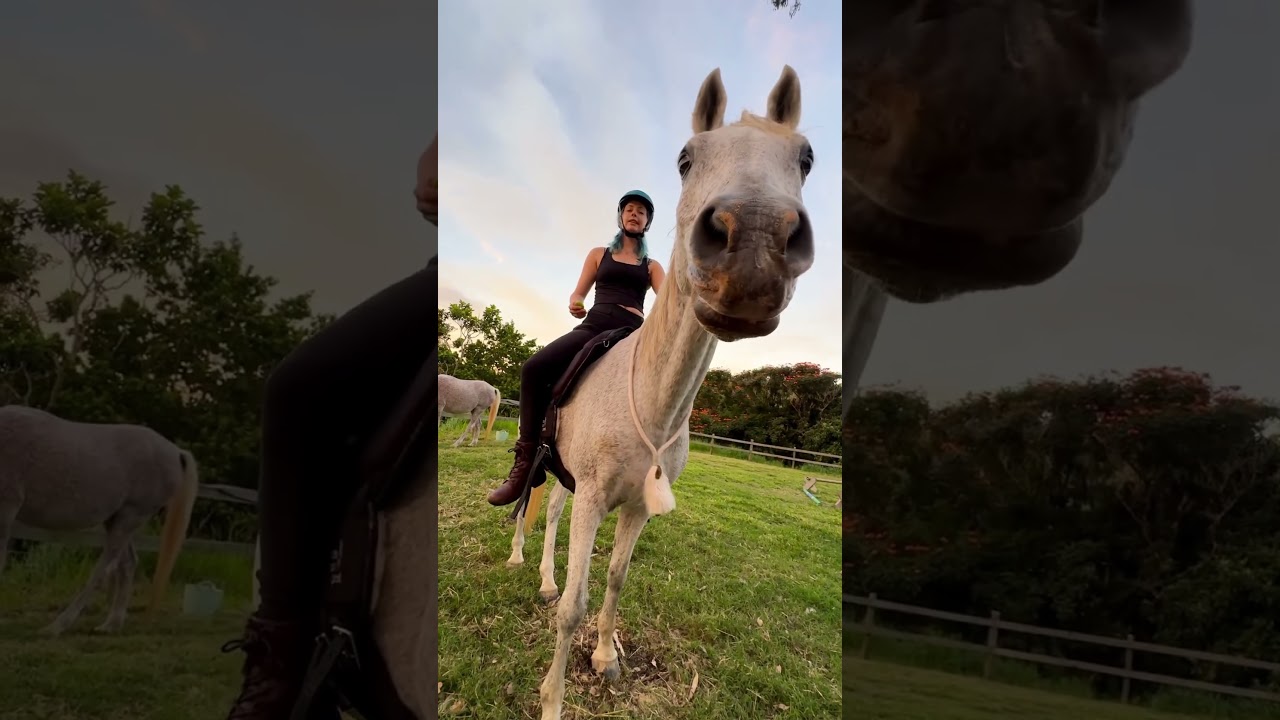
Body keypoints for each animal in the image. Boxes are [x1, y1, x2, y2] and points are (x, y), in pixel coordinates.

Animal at [0, 405, 199, 635]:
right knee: (127, 564)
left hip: (129, 518)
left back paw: (58, 626)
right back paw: (111, 624)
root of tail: (176, 452)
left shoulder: (5, 510)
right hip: (117, 521)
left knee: (104, 568)